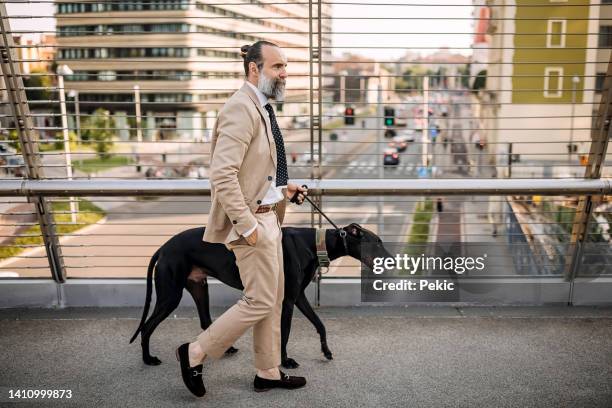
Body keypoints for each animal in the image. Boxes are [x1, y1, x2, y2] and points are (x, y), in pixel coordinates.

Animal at [130, 223, 390, 370]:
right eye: (376, 243)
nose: (391, 261)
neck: (314, 244)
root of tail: (163, 248)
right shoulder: (287, 300)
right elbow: (284, 333)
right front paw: (286, 361)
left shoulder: (298, 296)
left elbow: (320, 324)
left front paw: (326, 351)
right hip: (170, 294)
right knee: (147, 326)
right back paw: (148, 359)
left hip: (198, 285)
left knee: (205, 320)